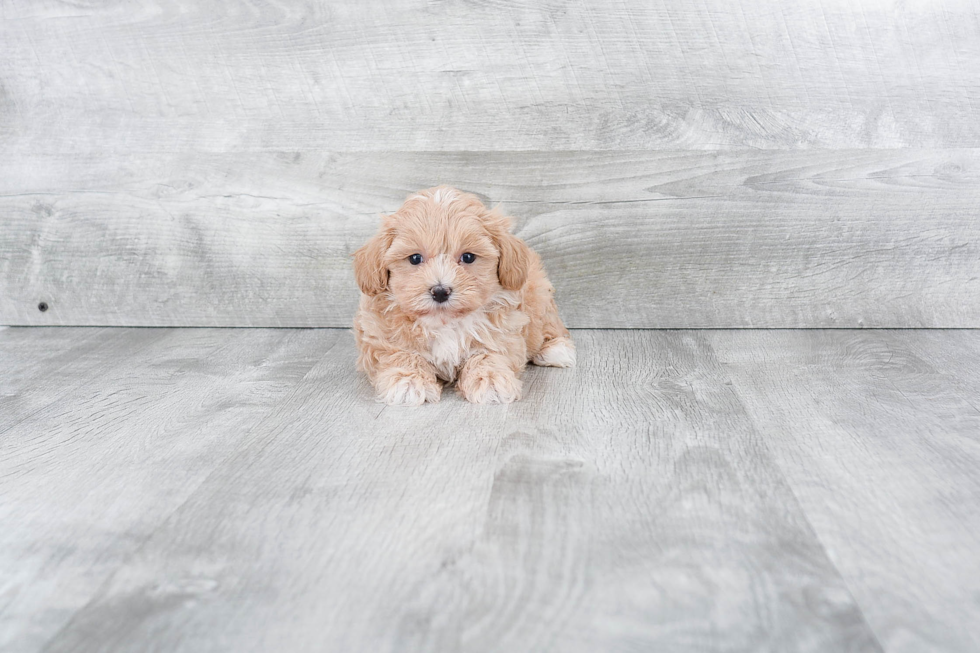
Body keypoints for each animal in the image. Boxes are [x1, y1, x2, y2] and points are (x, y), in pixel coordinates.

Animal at [352, 186, 576, 404]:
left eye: (468, 257)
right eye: (415, 258)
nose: (440, 291)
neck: (445, 322)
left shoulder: (504, 330)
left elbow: (489, 354)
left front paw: (490, 380)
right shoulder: (380, 335)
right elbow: (401, 353)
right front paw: (408, 381)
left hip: (538, 294)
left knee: (548, 325)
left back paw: (555, 350)